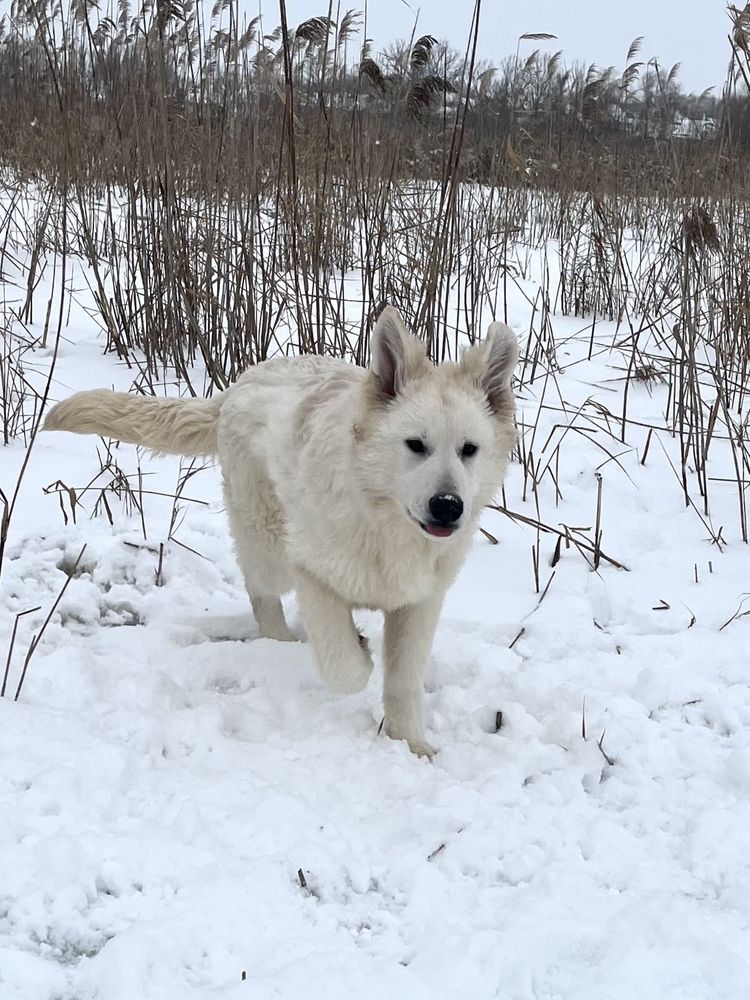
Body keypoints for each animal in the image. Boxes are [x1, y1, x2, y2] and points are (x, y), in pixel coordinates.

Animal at [45, 308, 516, 752]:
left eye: (469, 450)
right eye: (416, 445)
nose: (448, 507)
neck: (384, 522)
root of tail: (239, 384)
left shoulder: (419, 602)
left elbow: (403, 681)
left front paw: (411, 745)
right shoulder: (314, 575)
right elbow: (343, 666)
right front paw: (361, 650)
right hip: (270, 543)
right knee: (260, 590)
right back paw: (281, 642)